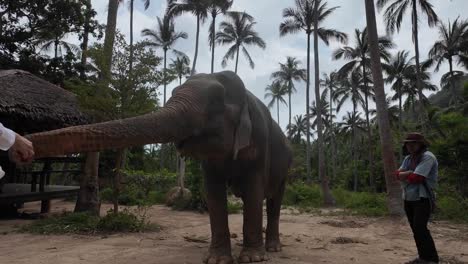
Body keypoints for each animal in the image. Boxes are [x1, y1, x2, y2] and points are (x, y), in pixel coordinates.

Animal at [27, 70, 292, 264]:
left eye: (216, 101)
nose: (24, 145)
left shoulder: (259, 141)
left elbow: (254, 191)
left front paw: (252, 259)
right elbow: (214, 194)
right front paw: (217, 260)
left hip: (286, 167)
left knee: (274, 201)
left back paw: (273, 248)